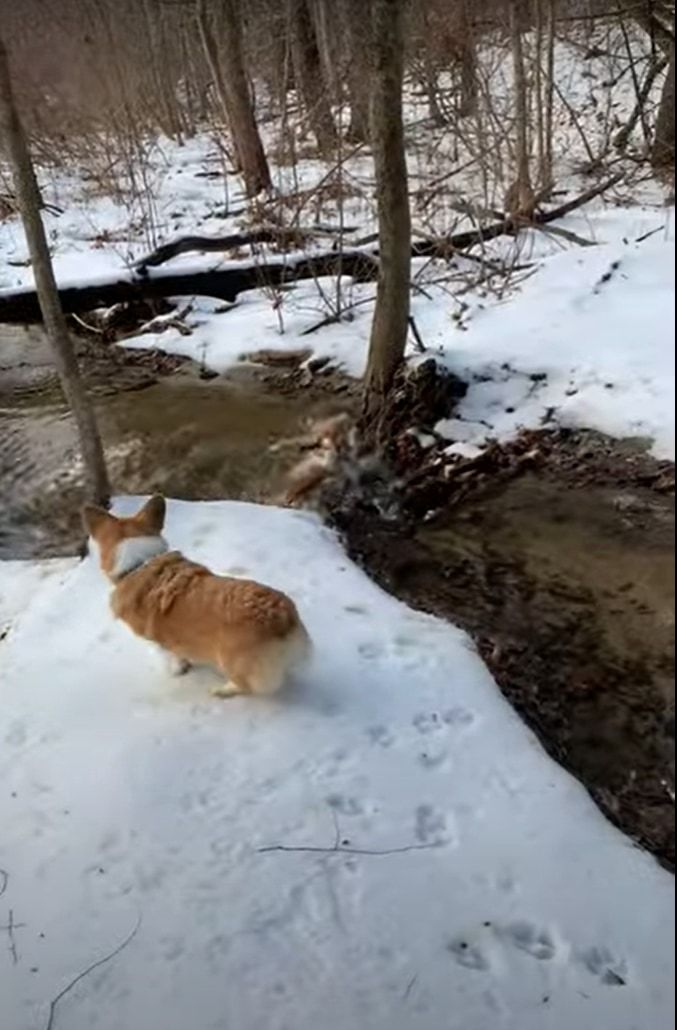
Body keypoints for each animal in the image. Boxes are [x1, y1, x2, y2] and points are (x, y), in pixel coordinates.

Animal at [81, 492, 309, 700]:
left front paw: (178, 670)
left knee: (245, 685)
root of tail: (282, 619)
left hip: (232, 661)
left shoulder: (159, 642)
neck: (139, 562)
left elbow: (171, 655)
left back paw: (222, 691)